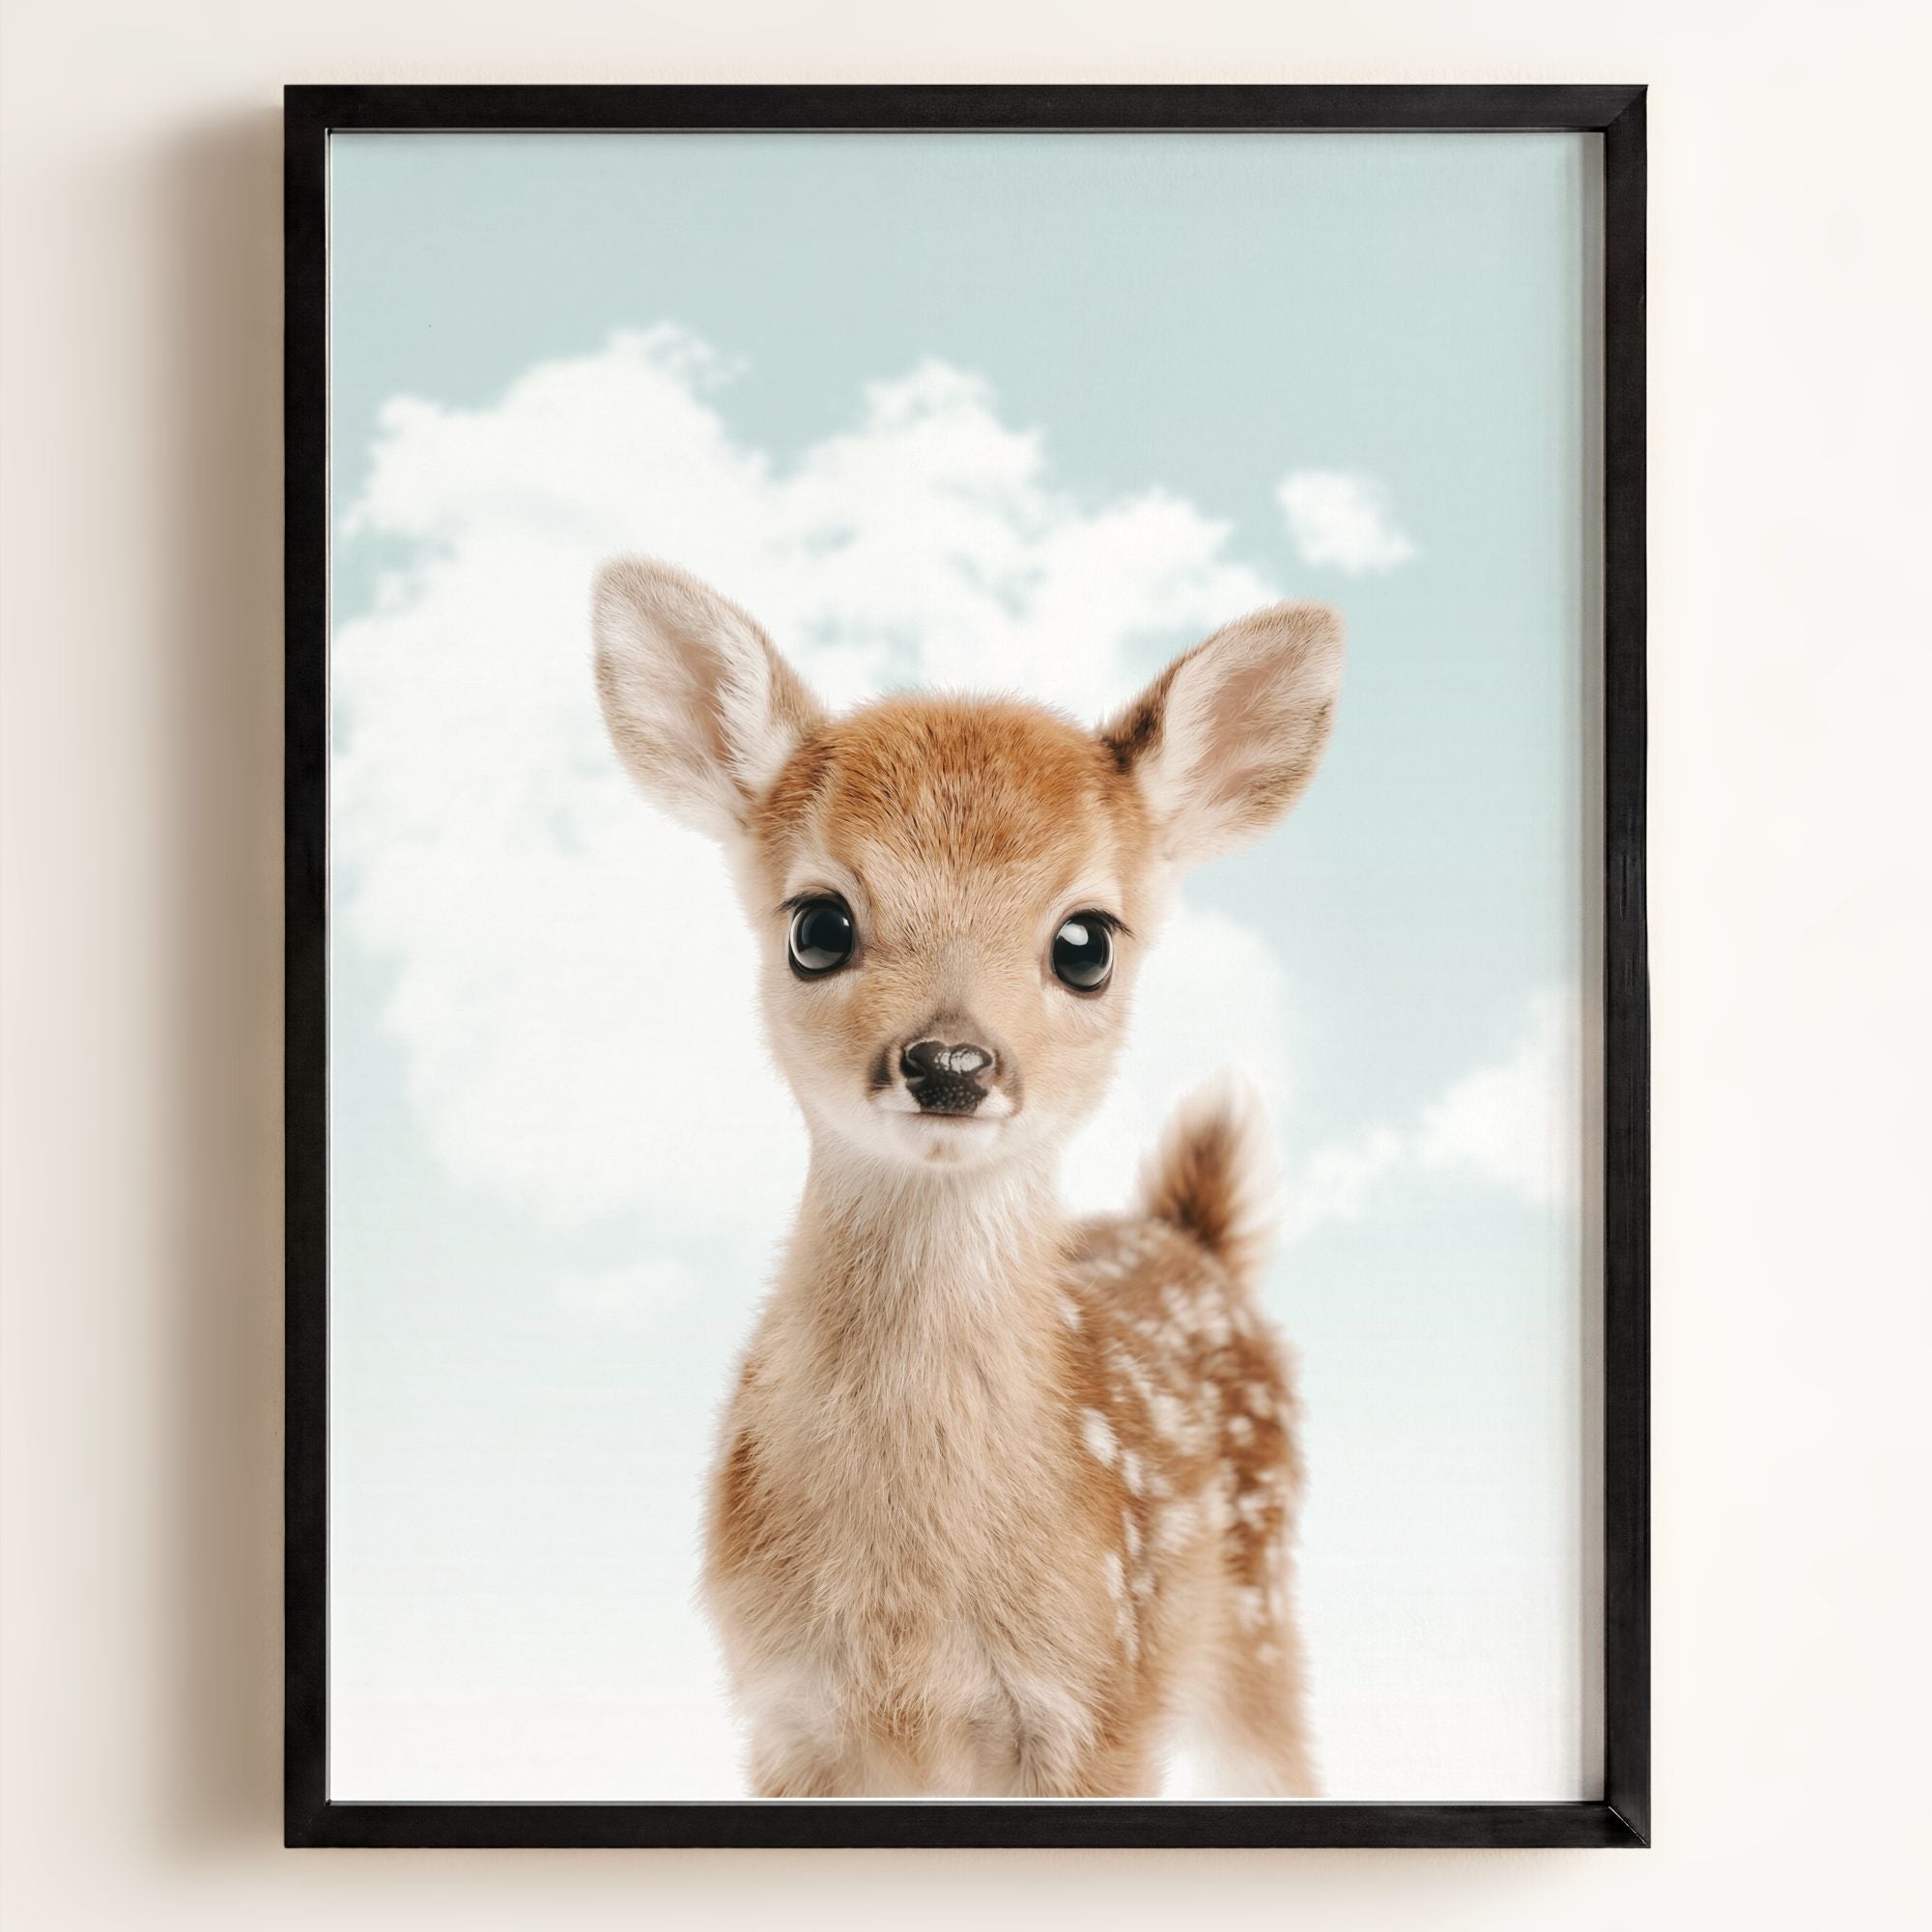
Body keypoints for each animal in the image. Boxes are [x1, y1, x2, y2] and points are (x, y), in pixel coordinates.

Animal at [592, 558, 1344, 1798]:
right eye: (817, 923)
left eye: (1085, 942)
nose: (949, 1062)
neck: (911, 1614)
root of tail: (1193, 1237)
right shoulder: (783, 1710)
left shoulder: (1102, 1700)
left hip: (1257, 1610)